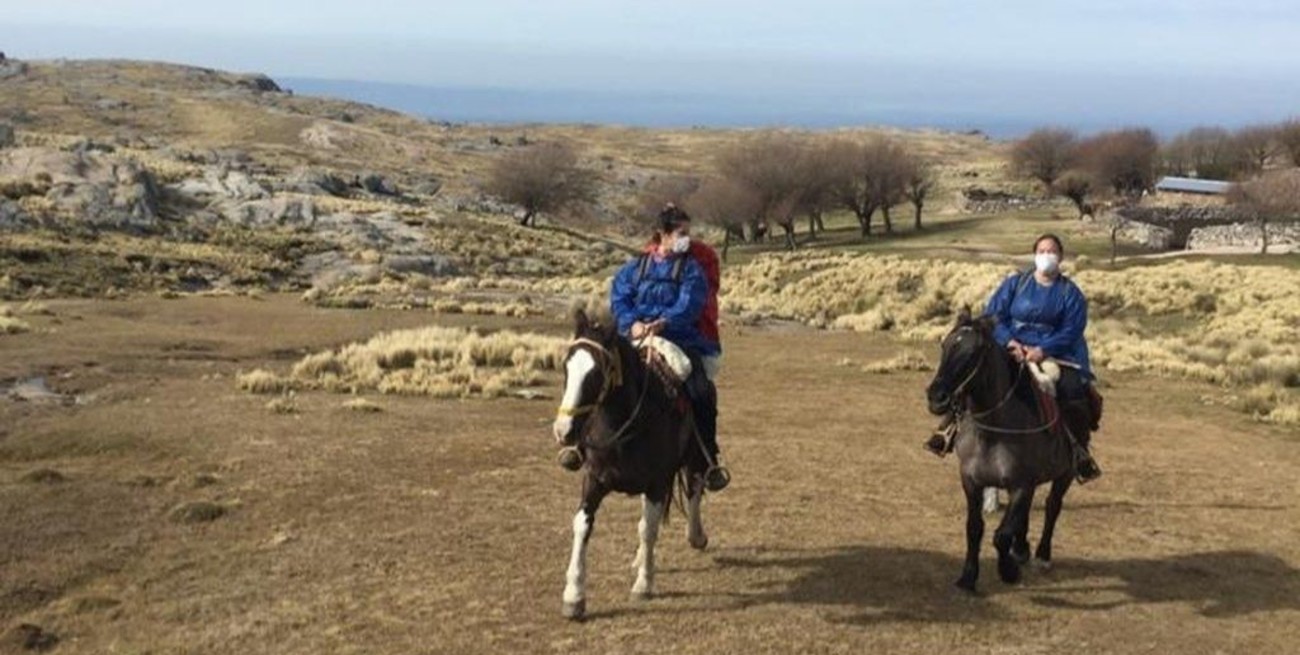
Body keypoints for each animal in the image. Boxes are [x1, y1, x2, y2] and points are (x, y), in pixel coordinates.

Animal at [551, 309, 711, 620]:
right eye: (566, 366)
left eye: (596, 373)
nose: (563, 430)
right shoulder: (594, 480)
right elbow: (582, 525)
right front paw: (574, 596)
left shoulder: (658, 483)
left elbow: (648, 528)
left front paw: (644, 584)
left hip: (694, 457)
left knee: (694, 488)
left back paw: (695, 536)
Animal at [925, 308, 1079, 592]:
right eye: (945, 345)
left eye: (974, 352)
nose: (936, 397)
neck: (993, 432)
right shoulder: (972, 482)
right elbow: (975, 528)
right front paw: (968, 577)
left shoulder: (1021, 484)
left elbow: (1001, 535)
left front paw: (1008, 571)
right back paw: (1021, 550)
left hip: (1065, 474)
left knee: (1052, 506)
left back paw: (1042, 555)